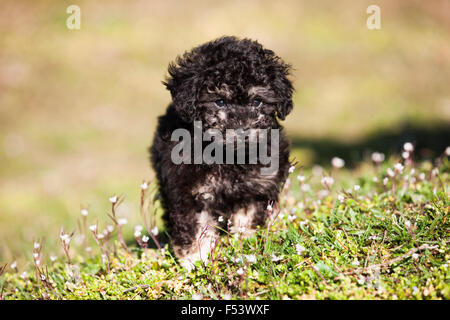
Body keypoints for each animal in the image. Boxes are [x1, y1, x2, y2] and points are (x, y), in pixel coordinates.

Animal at [149, 36, 294, 268]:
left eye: (257, 101)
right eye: (220, 101)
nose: (244, 131)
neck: (228, 157)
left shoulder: (256, 188)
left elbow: (248, 217)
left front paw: (245, 244)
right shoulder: (188, 191)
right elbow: (195, 226)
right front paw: (194, 258)